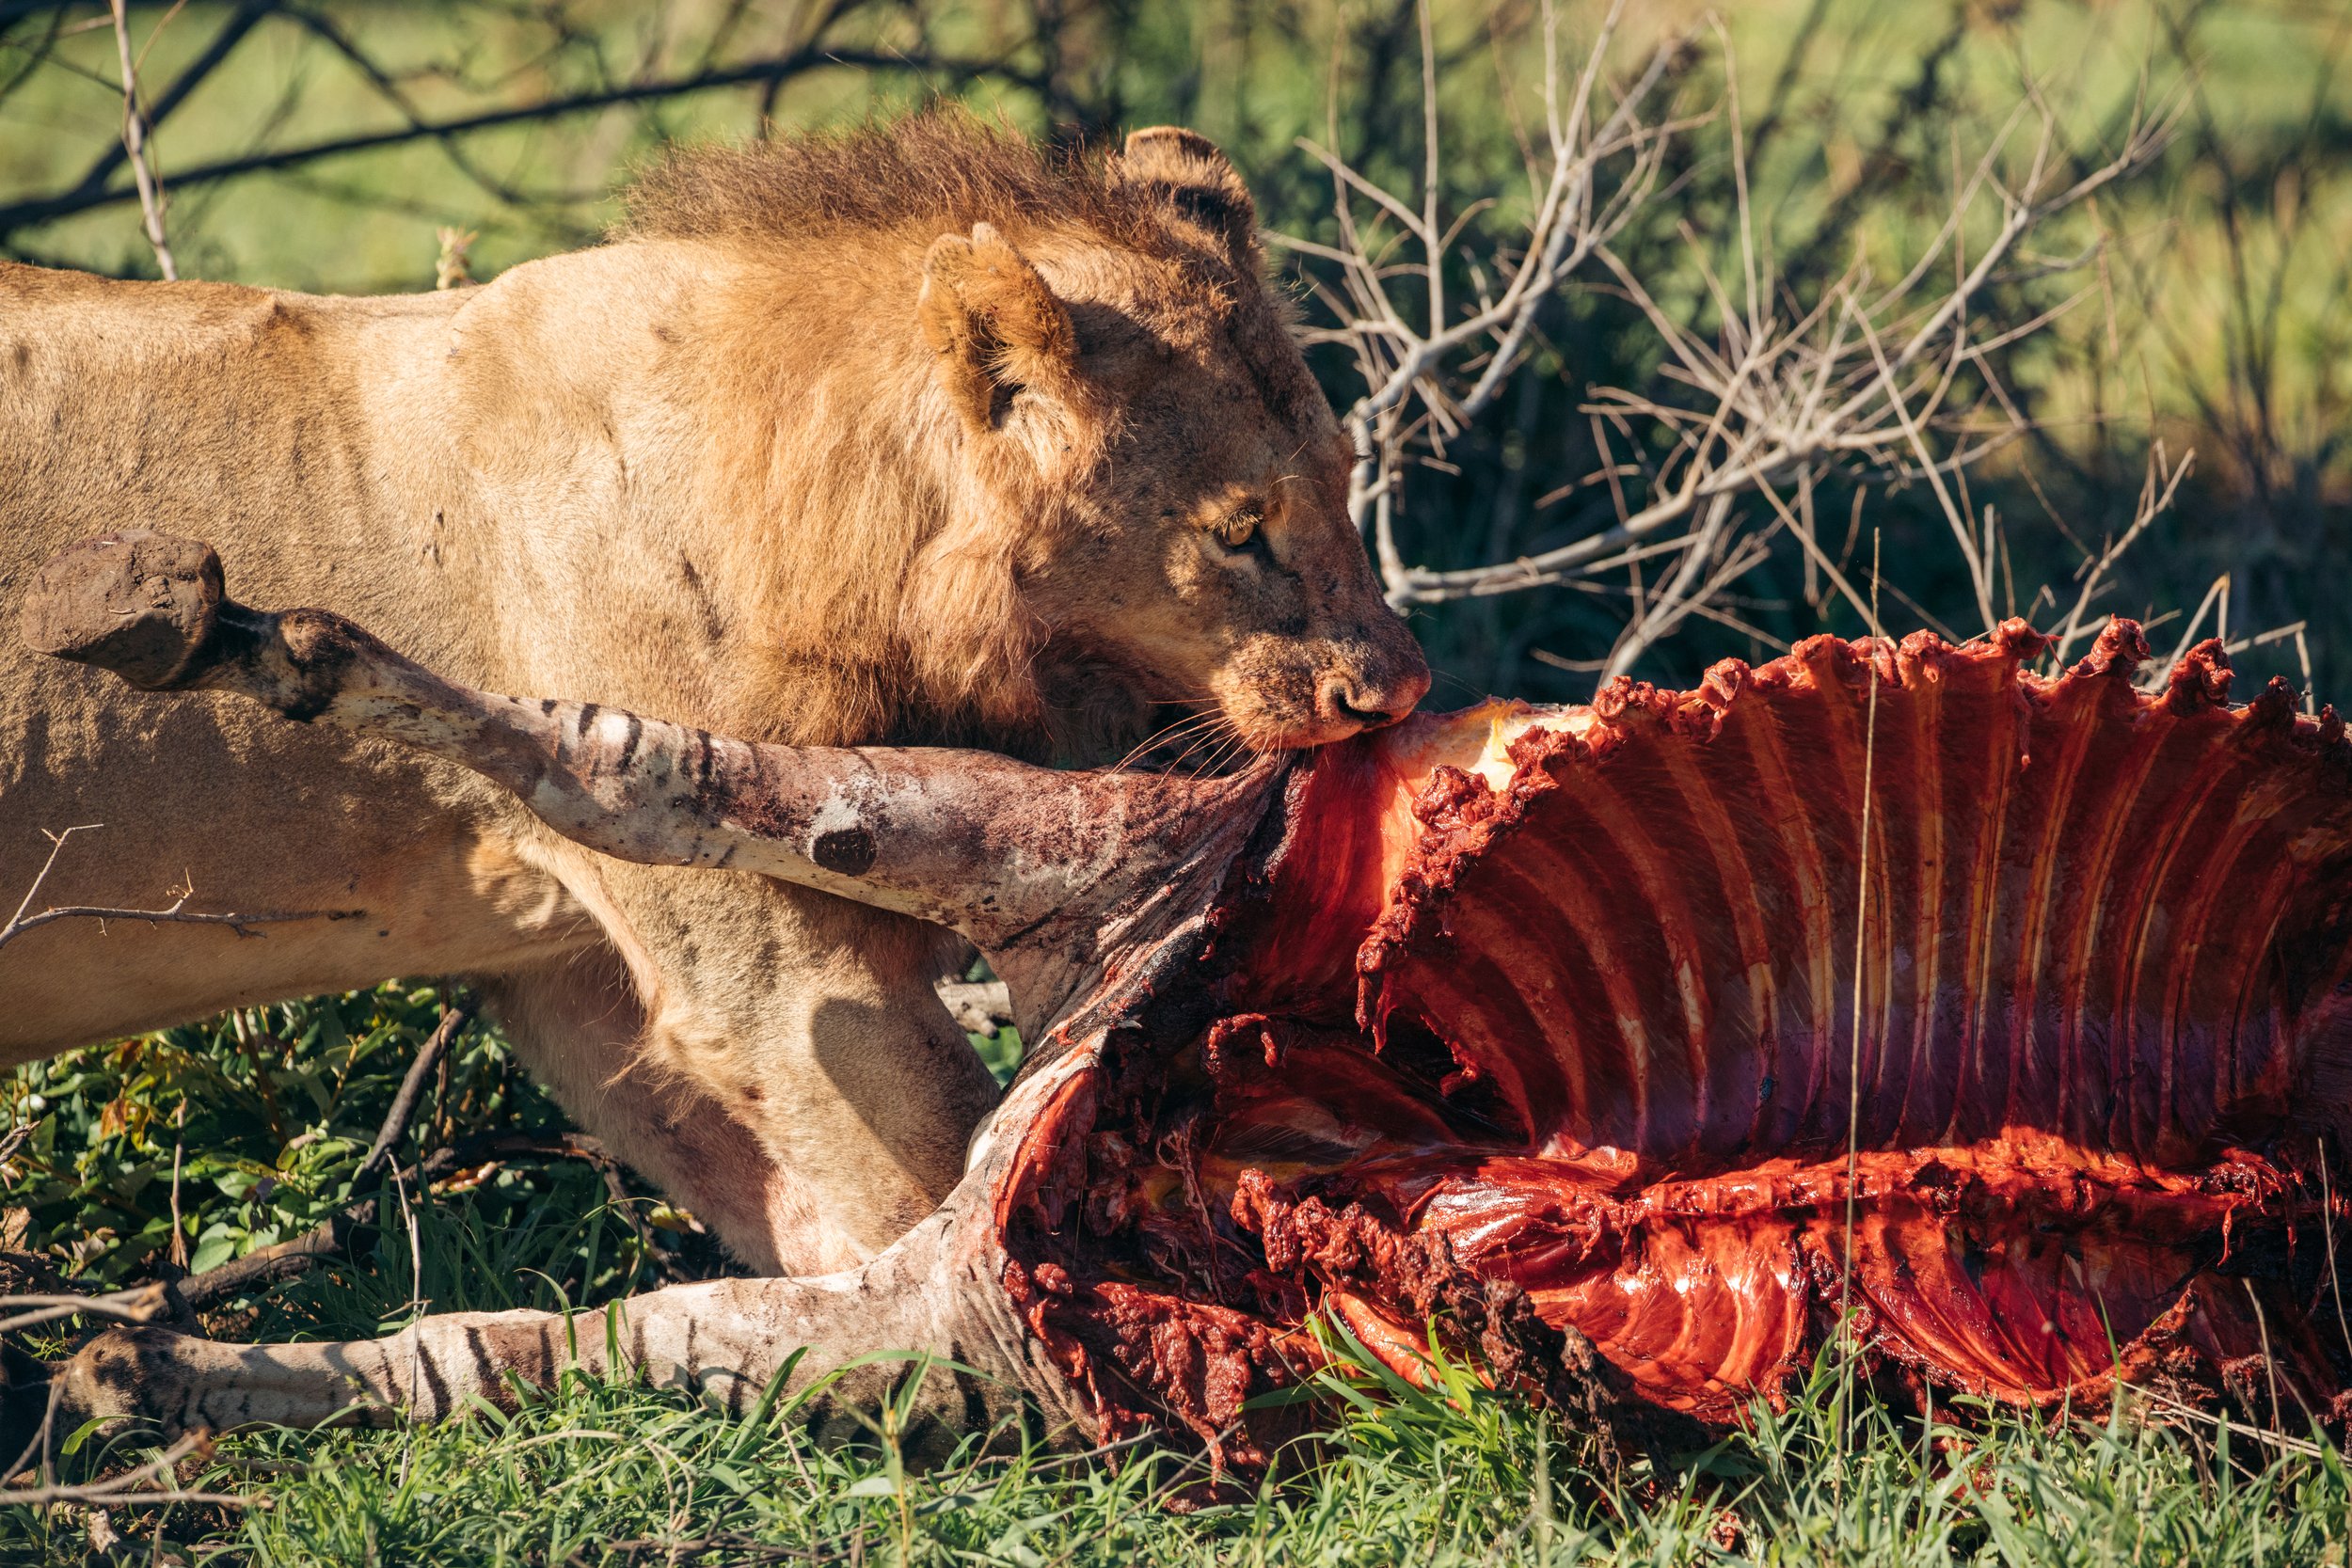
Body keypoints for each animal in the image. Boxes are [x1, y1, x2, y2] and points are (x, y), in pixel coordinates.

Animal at [0, 119, 1421, 1278]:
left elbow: (811, 1222)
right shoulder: (764, 963)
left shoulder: (569, 969)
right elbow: (928, 1184)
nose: (1396, 688)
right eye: (1241, 531)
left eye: (1348, 469)